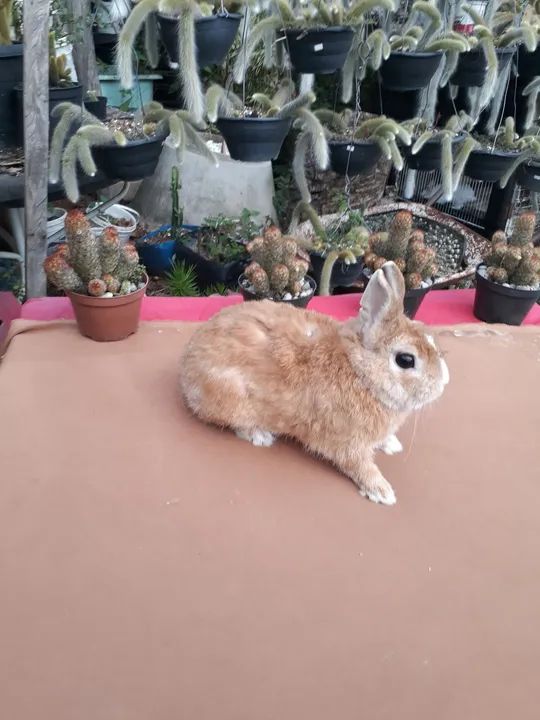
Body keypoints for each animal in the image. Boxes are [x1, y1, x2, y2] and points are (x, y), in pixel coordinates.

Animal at [180, 261, 449, 505]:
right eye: (406, 360)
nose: (444, 382)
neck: (360, 372)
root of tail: (186, 365)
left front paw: (392, 444)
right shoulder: (348, 444)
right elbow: (360, 466)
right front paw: (382, 492)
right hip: (232, 398)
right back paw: (260, 436)